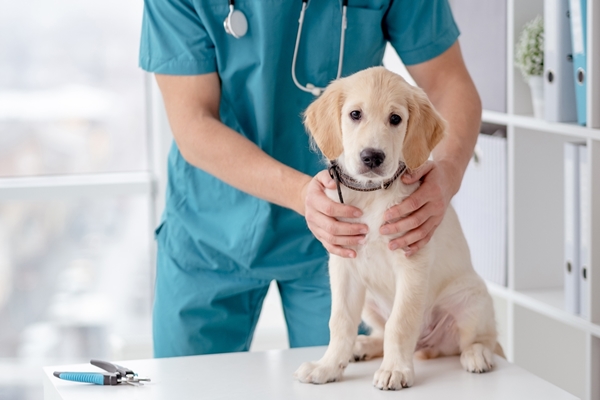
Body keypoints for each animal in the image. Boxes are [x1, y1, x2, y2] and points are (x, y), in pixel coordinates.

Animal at [292, 67, 500, 390]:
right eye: (355, 114)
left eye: (395, 119)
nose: (372, 157)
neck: (371, 194)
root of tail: (426, 347)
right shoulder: (343, 264)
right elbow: (340, 321)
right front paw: (328, 366)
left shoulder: (412, 259)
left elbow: (400, 323)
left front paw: (395, 370)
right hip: (368, 301)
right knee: (380, 332)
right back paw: (362, 346)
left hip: (471, 298)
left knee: (480, 339)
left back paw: (477, 355)